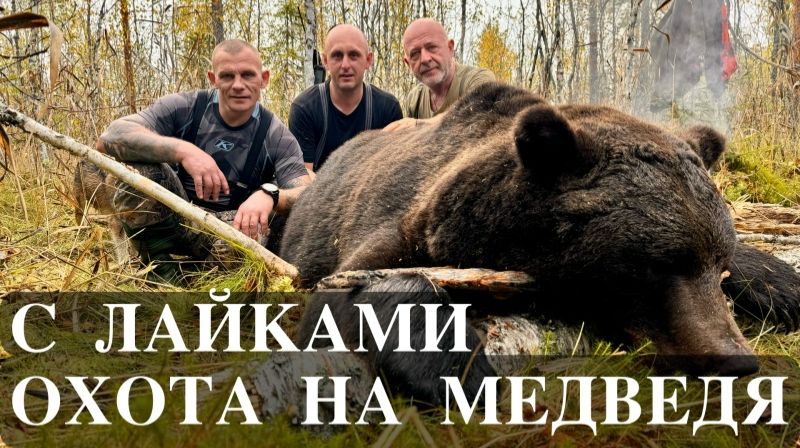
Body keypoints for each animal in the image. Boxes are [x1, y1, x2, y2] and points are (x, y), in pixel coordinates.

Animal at [280, 83, 800, 406]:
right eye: (657, 264)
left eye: (718, 264)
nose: (734, 359)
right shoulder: (401, 220)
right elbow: (354, 288)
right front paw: (464, 373)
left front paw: (782, 285)